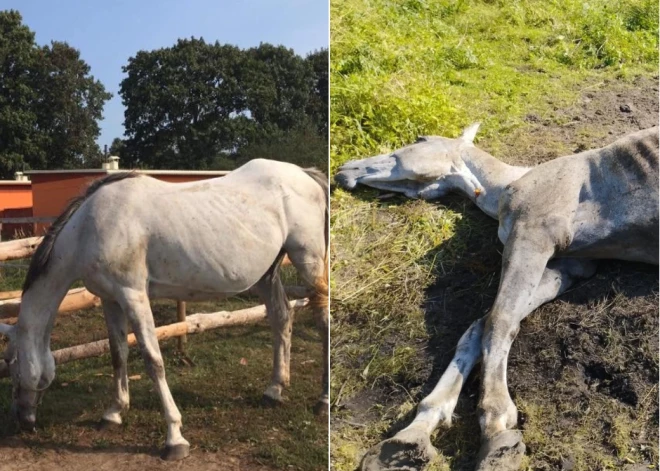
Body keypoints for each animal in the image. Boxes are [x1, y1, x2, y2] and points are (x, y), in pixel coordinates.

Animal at [0, 159, 328, 460]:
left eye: (11, 363)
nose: (21, 419)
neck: (89, 229)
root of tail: (305, 174)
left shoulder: (134, 296)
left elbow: (153, 361)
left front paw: (175, 439)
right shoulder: (111, 299)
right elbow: (118, 354)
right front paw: (113, 414)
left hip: (310, 262)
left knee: (323, 320)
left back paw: (322, 401)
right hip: (267, 275)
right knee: (281, 317)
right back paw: (274, 391)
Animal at [338, 123, 656, 470]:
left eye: (419, 140)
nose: (345, 170)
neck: (512, 181)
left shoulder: (532, 236)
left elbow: (500, 322)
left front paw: (495, 427)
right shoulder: (570, 265)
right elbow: (481, 325)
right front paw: (414, 432)